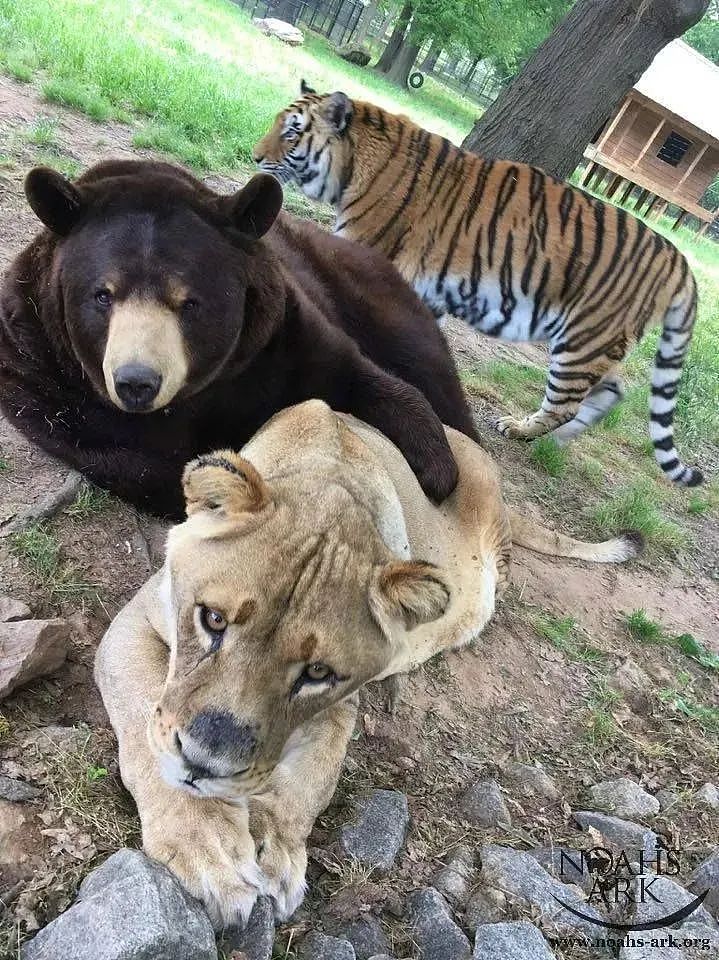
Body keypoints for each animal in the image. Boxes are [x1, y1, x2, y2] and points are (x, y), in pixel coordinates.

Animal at [0, 159, 479, 518]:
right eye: (103, 295)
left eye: (189, 302)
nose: (137, 382)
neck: (207, 391)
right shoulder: (43, 377)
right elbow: (141, 460)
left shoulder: (278, 336)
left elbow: (357, 374)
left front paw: (438, 467)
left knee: (424, 363)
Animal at [253, 81, 703, 487]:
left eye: (291, 132)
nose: (257, 157)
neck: (354, 163)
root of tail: (679, 260)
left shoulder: (363, 252)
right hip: (594, 345)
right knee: (612, 391)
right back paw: (552, 445)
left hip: (581, 344)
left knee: (568, 405)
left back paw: (521, 429)